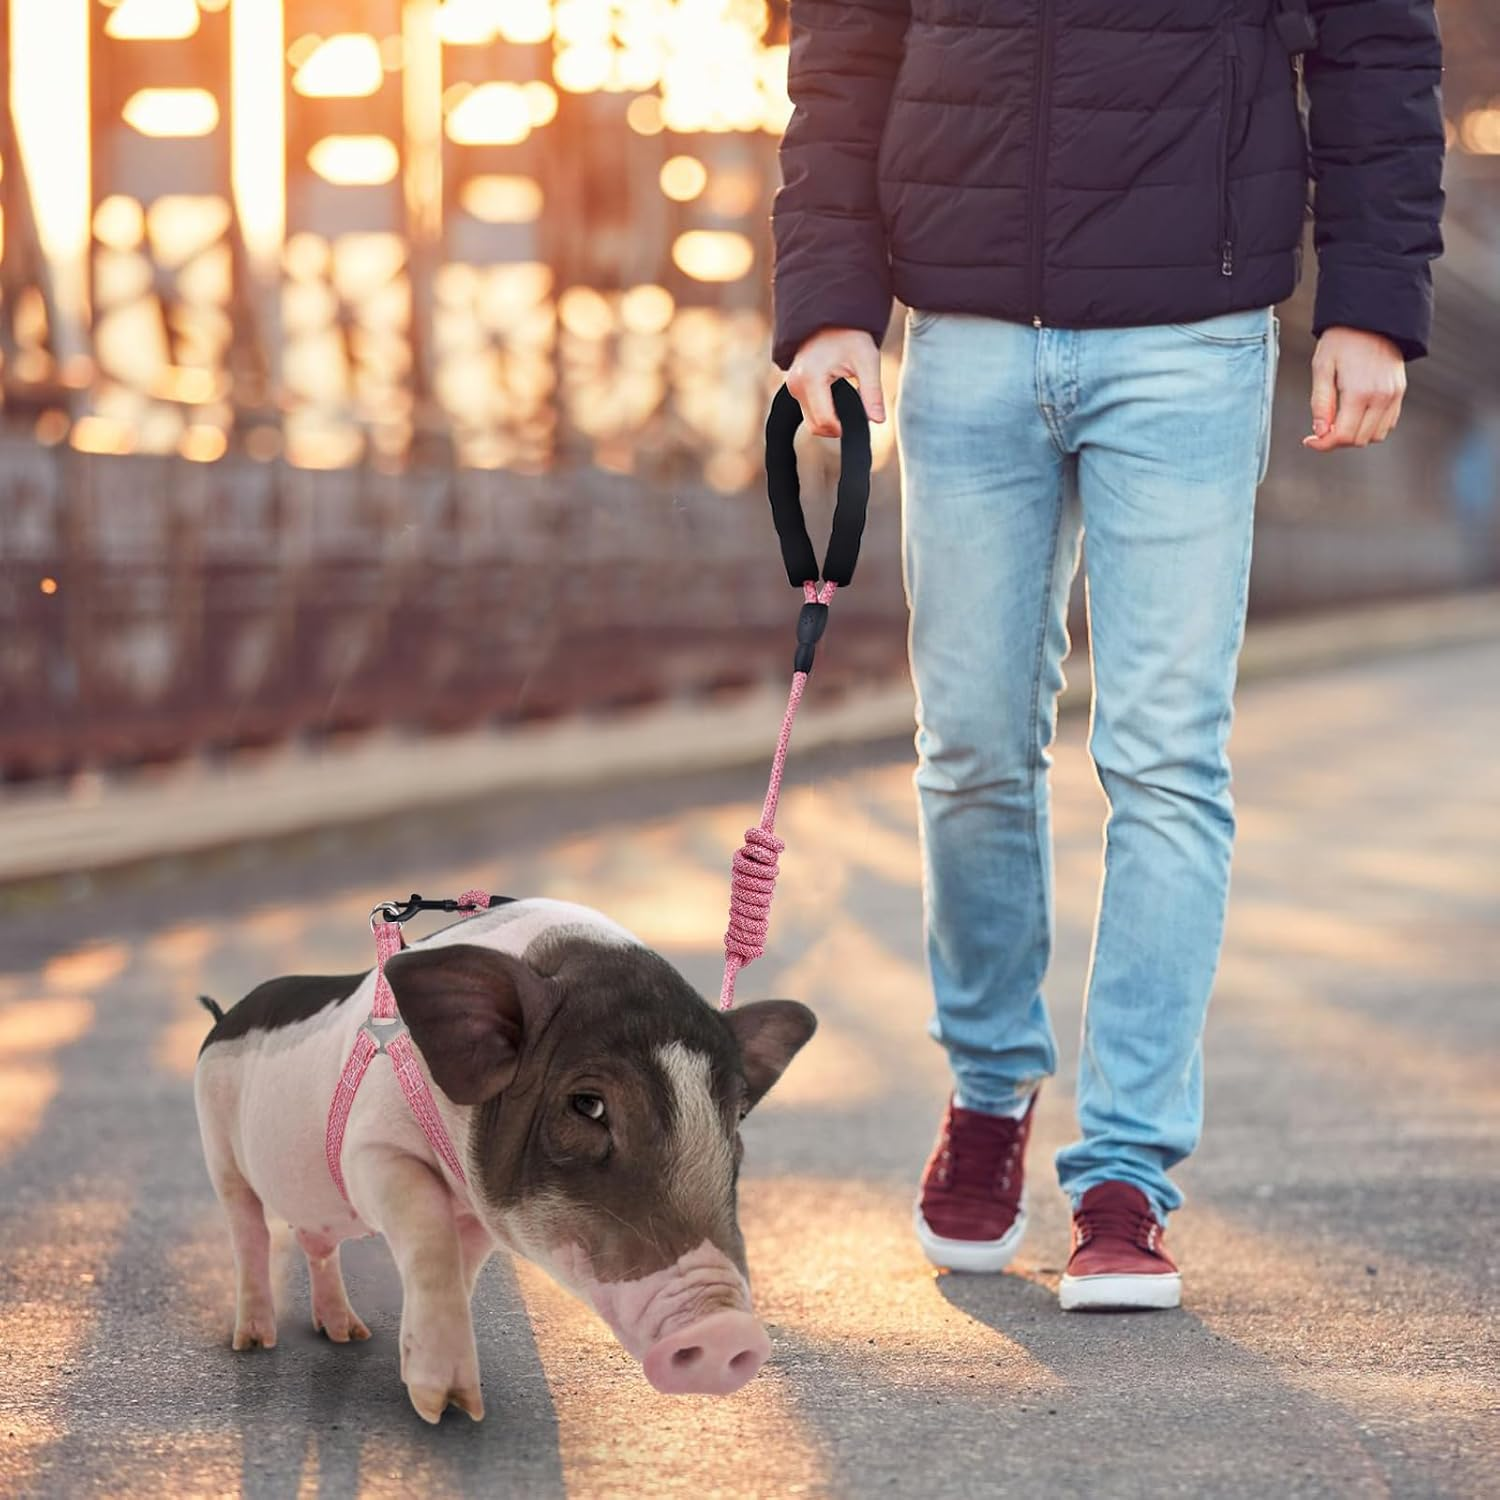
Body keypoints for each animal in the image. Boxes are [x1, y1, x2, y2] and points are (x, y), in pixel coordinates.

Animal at [193, 898, 815, 1420]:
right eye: (588, 1104)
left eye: (736, 1116)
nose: (729, 1331)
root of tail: (223, 1018)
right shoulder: (372, 1149)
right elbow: (429, 1238)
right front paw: (448, 1409)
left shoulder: (477, 1207)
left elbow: (460, 1265)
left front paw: (444, 1398)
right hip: (217, 1142)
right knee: (248, 1233)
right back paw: (255, 1342)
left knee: (316, 1244)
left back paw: (349, 1335)